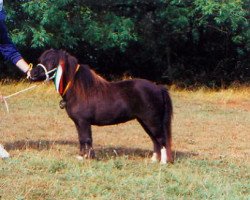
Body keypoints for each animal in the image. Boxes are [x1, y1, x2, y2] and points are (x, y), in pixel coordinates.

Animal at [29, 49, 174, 164]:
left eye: (53, 61)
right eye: (41, 59)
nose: (32, 74)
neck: (79, 90)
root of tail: (159, 88)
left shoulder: (84, 121)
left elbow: (86, 138)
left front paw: (87, 157)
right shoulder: (78, 123)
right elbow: (81, 139)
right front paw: (81, 156)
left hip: (152, 121)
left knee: (161, 139)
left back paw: (163, 162)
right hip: (144, 121)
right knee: (155, 140)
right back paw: (154, 160)